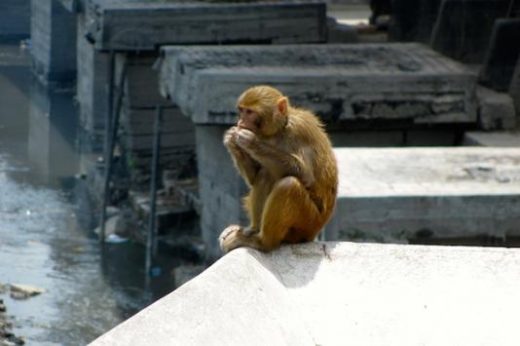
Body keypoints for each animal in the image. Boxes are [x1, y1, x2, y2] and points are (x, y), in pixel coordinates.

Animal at [218, 85, 338, 253]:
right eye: (241, 110)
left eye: (250, 112)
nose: (240, 121)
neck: (280, 130)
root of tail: (314, 232)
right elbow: (255, 177)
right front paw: (231, 141)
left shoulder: (300, 129)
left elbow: (307, 177)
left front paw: (251, 142)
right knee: (265, 174)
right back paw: (254, 230)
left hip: (306, 225)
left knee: (288, 185)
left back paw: (262, 242)